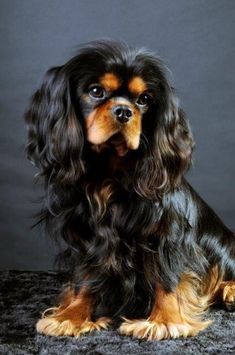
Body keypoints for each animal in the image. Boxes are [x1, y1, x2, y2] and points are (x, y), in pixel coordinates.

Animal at [24, 40, 234, 340]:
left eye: (144, 99)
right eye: (96, 91)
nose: (124, 111)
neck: (111, 175)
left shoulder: (168, 233)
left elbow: (168, 276)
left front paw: (164, 321)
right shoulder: (90, 239)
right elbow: (85, 279)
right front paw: (72, 316)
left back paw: (230, 290)